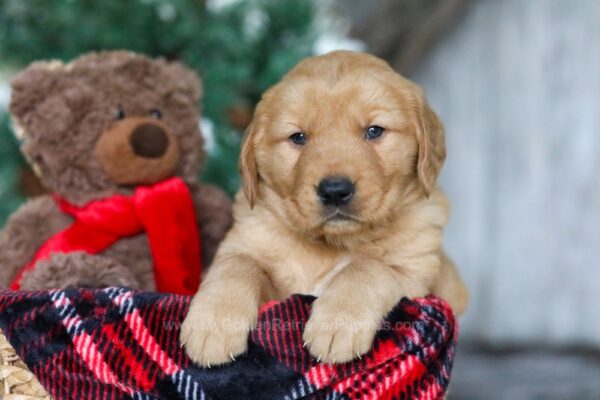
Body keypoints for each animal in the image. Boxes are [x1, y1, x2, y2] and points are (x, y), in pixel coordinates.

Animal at [179, 51, 468, 368]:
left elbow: (367, 268)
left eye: (374, 131)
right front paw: (213, 323)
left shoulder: (413, 273)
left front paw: (338, 323)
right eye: (298, 137)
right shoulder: (245, 245)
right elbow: (237, 265)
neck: (329, 245)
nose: (335, 191)